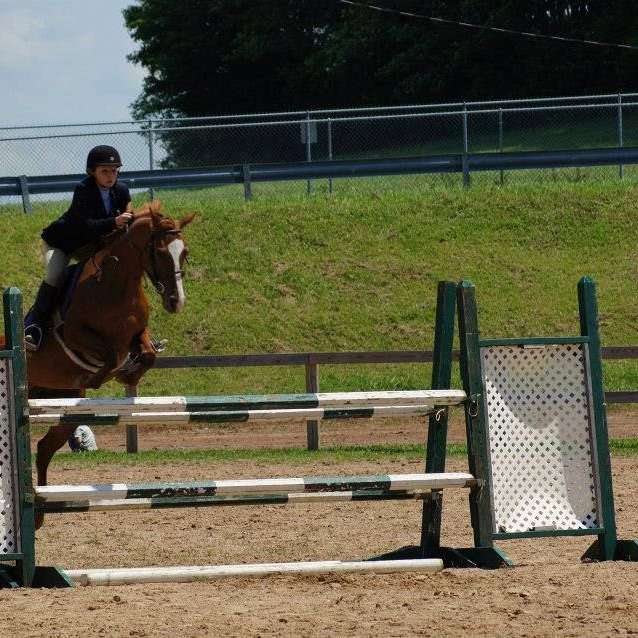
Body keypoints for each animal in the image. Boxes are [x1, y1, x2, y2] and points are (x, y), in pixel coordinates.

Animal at [1, 201, 195, 528]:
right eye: (158, 252)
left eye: (184, 253)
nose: (176, 302)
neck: (117, 283)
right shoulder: (75, 334)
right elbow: (110, 355)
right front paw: (107, 375)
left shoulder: (138, 333)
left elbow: (146, 353)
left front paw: (131, 372)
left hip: (60, 402)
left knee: (44, 448)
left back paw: (39, 512)